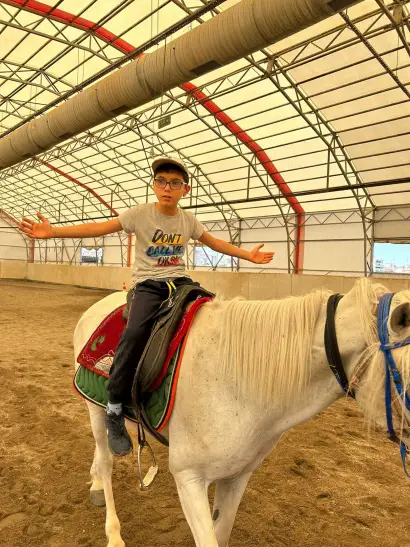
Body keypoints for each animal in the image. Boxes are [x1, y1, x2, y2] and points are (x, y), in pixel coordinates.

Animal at [73, 278, 410, 547]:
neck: (237, 381)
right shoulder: (189, 478)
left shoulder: (237, 476)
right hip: (96, 409)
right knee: (106, 459)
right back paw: (113, 530)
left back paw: (95, 483)